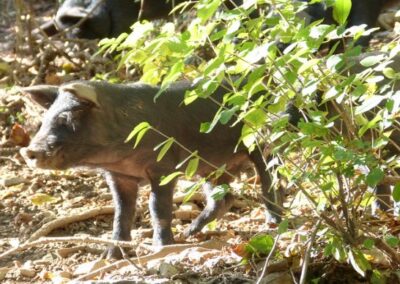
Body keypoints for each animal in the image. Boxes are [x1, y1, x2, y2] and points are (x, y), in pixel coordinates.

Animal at [18, 80, 282, 260]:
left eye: (65, 119)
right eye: (44, 122)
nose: (29, 151)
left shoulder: (163, 166)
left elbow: (157, 208)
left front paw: (162, 247)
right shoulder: (119, 177)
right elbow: (121, 214)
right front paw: (111, 255)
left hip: (261, 141)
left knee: (271, 179)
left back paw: (273, 222)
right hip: (212, 167)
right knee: (224, 198)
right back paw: (190, 233)